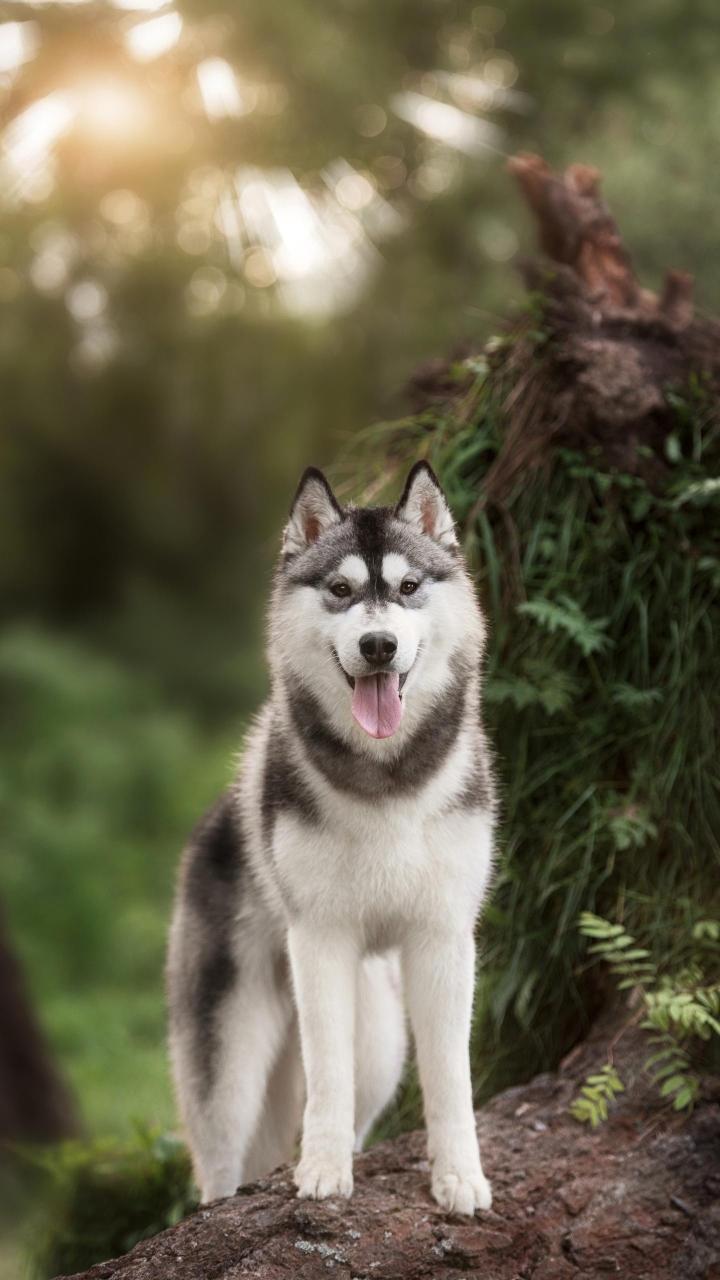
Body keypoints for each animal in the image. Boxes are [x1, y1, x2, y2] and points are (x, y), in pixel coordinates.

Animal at [166, 465, 491, 1213]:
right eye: (340, 590)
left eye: (408, 586)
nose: (378, 646)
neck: (387, 779)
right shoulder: (320, 939)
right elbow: (326, 1073)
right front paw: (321, 1171)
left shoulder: (443, 939)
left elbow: (451, 1076)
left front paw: (460, 1176)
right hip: (230, 1058)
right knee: (221, 1158)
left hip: (381, 1039)